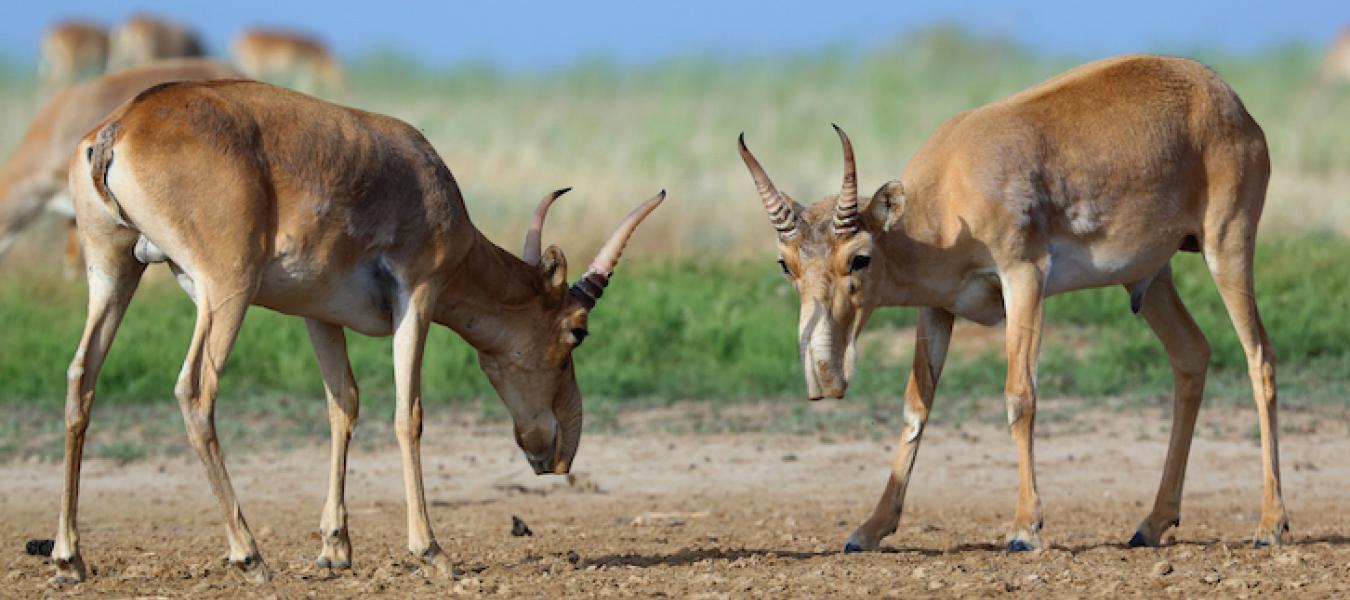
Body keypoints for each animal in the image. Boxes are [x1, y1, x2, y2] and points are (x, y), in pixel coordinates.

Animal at [52, 78, 664, 581]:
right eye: (577, 331)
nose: (557, 456)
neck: (423, 178)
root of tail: (119, 127)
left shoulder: (318, 314)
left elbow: (343, 405)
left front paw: (335, 548)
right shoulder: (418, 293)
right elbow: (407, 415)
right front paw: (432, 552)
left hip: (115, 272)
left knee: (82, 377)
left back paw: (69, 558)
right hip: (225, 288)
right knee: (195, 389)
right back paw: (250, 555)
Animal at [745, 55, 1279, 554]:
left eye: (859, 257)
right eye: (785, 264)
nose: (826, 377)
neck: (951, 186)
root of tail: (1231, 103)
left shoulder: (1023, 276)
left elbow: (1020, 395)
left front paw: (1024, 528)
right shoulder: (937, 309)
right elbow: (916, 406)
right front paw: (869, 530)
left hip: (1227, 246)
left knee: (1260, 358)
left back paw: (1270, 525)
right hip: (1150, 280)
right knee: (1191, 354)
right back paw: (1153, 523)